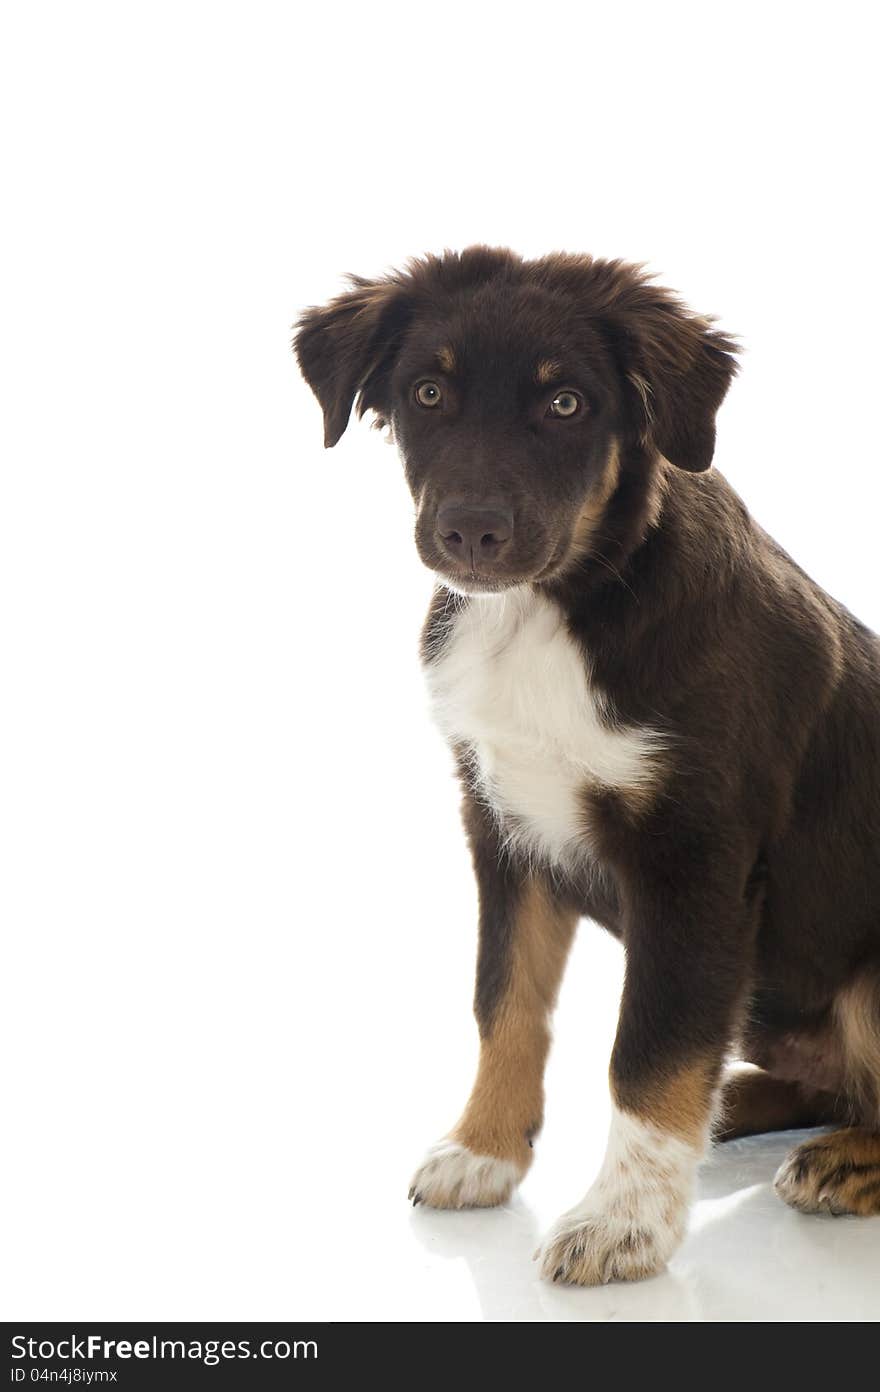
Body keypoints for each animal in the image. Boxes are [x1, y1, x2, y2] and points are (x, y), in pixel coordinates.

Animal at [293, 247, 880, 1280]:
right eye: (428, 392)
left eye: (566, 403)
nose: (472, 532)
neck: (554, 605)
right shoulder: (503, 823)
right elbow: (504, 1002)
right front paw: (484, 1152)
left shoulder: (696, 862)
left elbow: (649, 1049)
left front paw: (625, 1225)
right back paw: (742, 1105)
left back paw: (842, 1161)